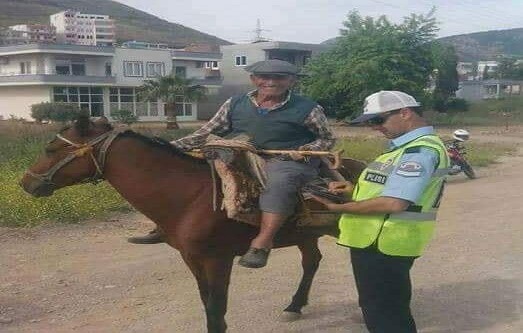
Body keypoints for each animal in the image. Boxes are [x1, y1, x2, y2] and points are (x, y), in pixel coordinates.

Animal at [21, 115, 364, 332]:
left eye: (51, 149)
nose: (26, 182)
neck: (188, 197)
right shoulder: (191, 258)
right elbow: (205, 302)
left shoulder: (218, 260)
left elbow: (216, 309)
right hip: (306, 234)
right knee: (312, 262)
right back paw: (295, 305)